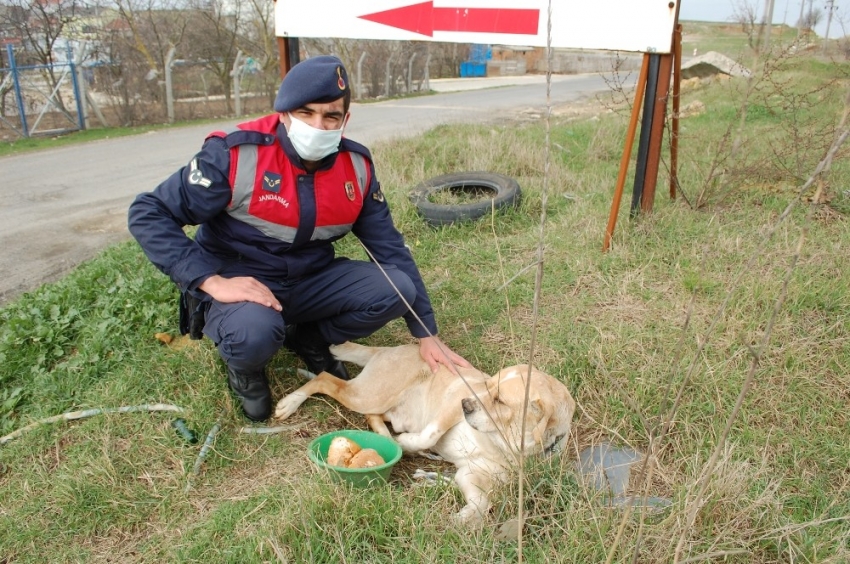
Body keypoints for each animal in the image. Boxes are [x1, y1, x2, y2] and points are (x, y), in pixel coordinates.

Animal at [274, 344, 572, 524]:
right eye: (488, 386)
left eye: (500, 400)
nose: (467, 405)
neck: (502, 444)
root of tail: (388, 349)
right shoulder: (451, 404)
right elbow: (431, 433)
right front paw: (410, 445)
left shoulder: (470, 474)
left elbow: (481, 503)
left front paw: (463, 518)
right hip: (368, 395)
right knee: (324, 378)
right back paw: (289, 403)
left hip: (388, 409)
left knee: (373, 416)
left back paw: (393, 442)